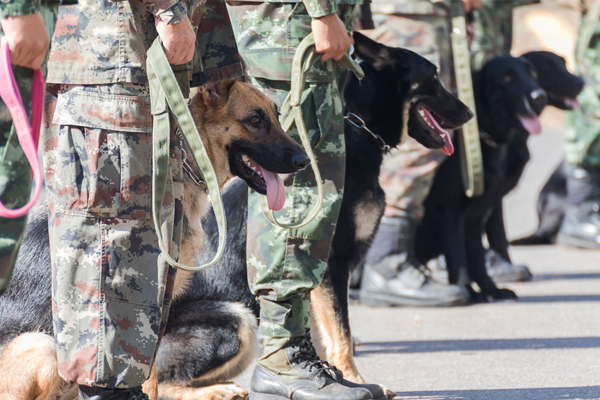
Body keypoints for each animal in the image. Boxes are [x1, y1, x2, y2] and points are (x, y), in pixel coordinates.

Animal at [414, 55, 548, 300]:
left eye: (532, 74)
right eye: (507, 78)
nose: (539, 97)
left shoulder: (476, 216)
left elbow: (477, 260)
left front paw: (491, 290)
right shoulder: (450, 212)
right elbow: (458, 258)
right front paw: (467, 291)